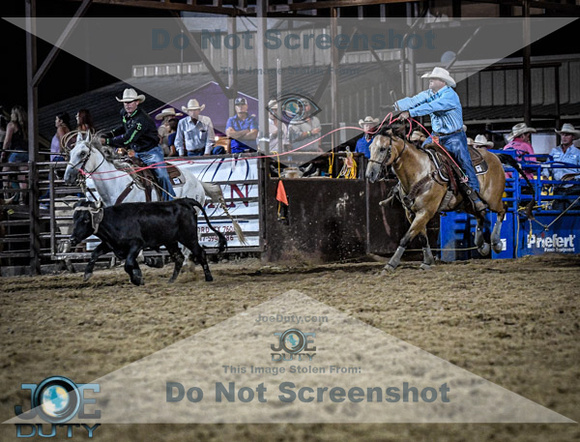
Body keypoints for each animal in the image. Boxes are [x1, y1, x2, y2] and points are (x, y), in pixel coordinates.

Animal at [370, 125, 532, 272]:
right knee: (480, 214)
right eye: (370, 147)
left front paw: (391, 264)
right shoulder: (411, 213)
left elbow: (406, 237)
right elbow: (421, 236)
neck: (420, 172)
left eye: (383, 149)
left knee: (502, 210)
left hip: (493, 199)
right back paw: (482, 246)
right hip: (468, 204)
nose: (370, 173)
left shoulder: (425, 212)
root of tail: (495, 156)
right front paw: (427, 261)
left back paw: (496, 243)